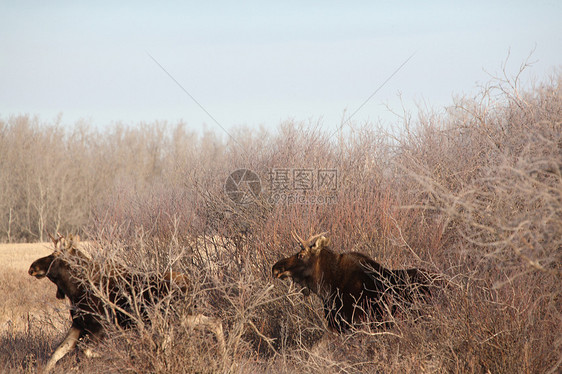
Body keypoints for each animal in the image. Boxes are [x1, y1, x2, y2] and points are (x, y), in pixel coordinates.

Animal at [29, 232, 224, 372]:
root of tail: (191, 284)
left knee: (170, 340)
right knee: (215, 322)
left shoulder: (101, 327)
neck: (75, 289)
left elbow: (86, 351)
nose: (32, 267)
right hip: (184, 317)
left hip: (172, 318)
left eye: (55, 255)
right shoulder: (79, 325)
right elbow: (57, 353)